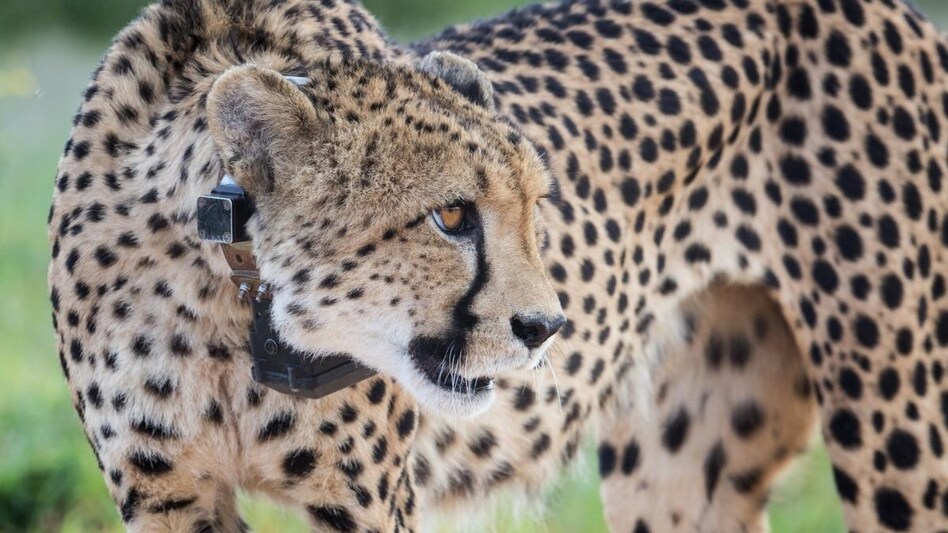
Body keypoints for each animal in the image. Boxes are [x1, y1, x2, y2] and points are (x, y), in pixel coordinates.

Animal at [47, 0, 948, 532]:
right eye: (450, 216)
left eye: (533, 207)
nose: (545, 326)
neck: (217, 292)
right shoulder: (167, 494)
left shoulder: (366, 501)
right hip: (679, 466)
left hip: (898, 434)